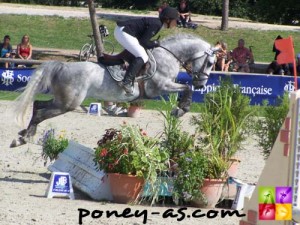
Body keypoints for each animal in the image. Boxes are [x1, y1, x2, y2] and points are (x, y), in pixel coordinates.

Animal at [11, 32, 218, 147]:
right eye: (210, 62)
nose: (202, 84)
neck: (168, 56)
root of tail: (62, 66)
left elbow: (185, 88)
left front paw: (180, 107)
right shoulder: (160, 87)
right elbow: (186, 87)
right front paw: (181, 109)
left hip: (62, 100)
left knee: (38, 105)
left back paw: (25, 134)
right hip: (67, 103)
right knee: (40, 112)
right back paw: (23, 138)